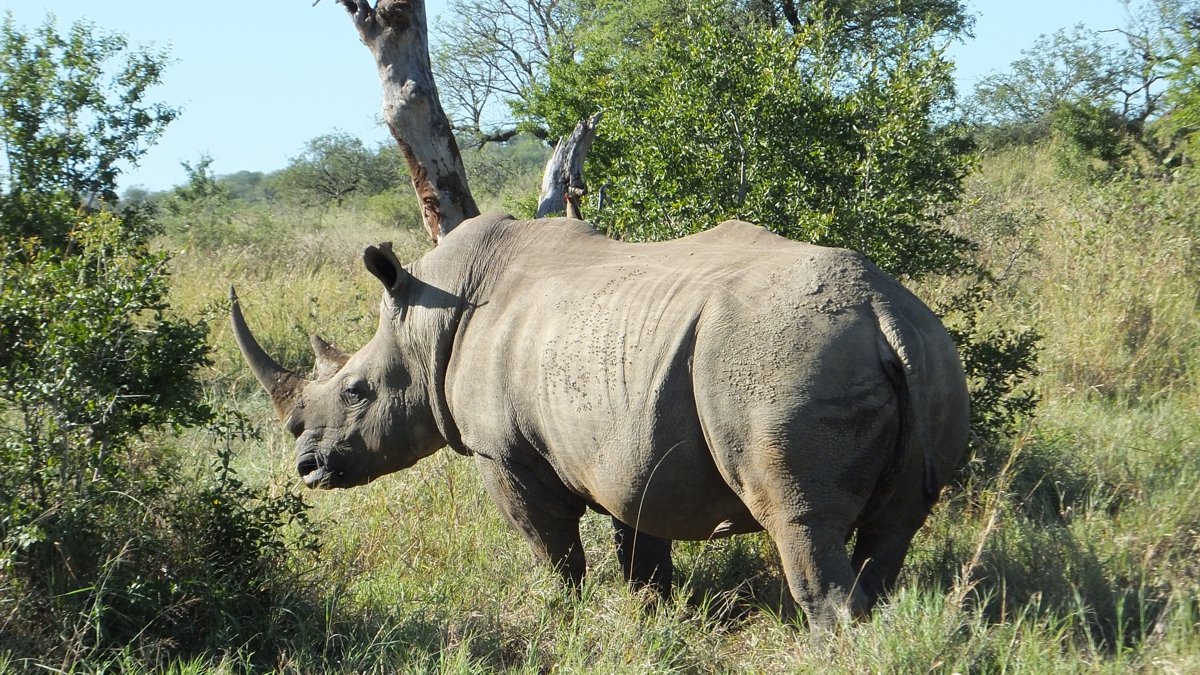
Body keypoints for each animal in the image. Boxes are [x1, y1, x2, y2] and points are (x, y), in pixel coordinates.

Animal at [231, 212, 970, 627]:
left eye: (356, 390)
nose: (306, 467)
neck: (429, 321)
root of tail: (882, 310)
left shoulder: (502, 452)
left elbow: (552, 549)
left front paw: (560, 616)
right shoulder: (633, 447)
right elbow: (641, 547)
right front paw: (651, 623)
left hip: (782, 361)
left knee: (799, 520)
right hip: (931, 353)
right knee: (896, 524)